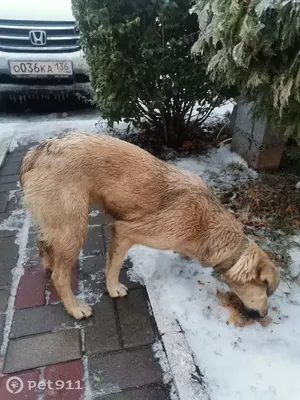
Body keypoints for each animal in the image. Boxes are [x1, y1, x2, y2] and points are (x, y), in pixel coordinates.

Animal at [20, 133, 278, 320]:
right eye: (267, 290)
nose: (264, 315)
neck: (208, 224)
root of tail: (35, 153)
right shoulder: (125, 231)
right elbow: (113, 267)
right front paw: (113, 289)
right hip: (75, 228)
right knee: (59, 277)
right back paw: (75, 308)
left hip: (61, 224)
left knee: (44, 243)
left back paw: (50, 263)